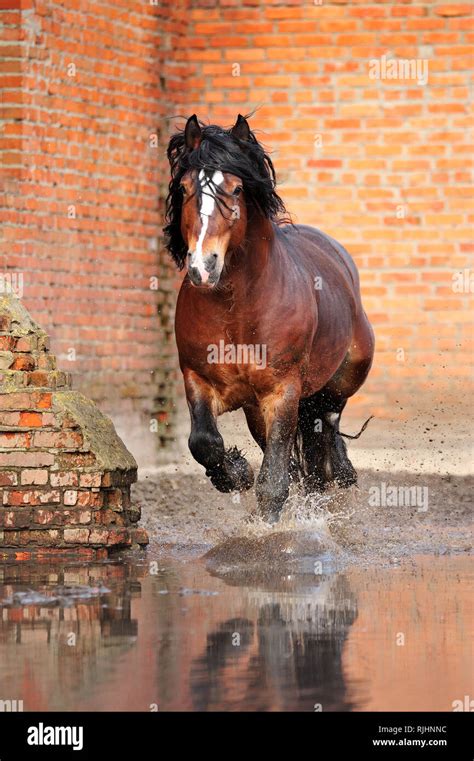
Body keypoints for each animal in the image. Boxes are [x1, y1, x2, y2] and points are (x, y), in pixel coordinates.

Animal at [165, 114, 376, 524]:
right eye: (184, 188)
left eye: (235, 189)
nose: (202, 267)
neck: (237, 309)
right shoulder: (198, 379)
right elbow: (204, 443)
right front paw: (236, 472)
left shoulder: (283, 391)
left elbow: (274, 482)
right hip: (257, 409)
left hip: (336, 387)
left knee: (324, 440)